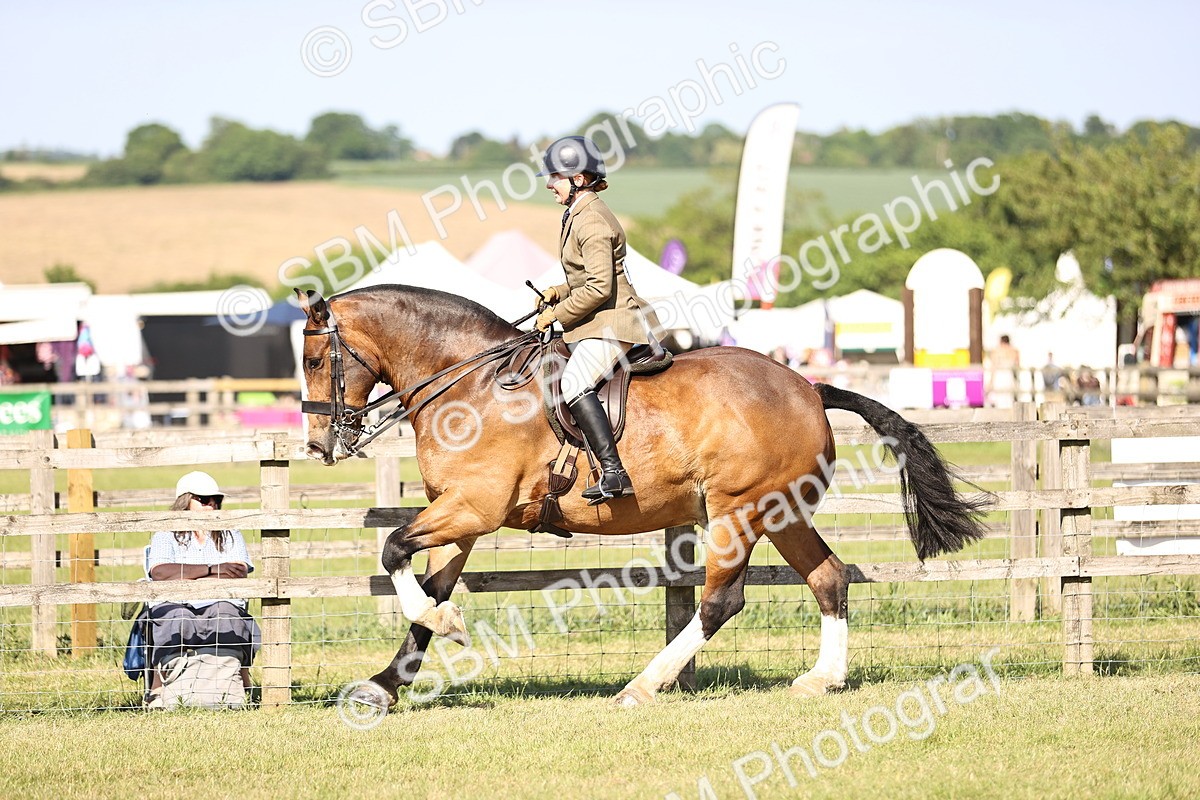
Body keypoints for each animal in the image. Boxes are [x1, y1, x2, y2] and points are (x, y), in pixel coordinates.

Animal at [296, 285, 988, 709]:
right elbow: (427, 588)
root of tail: (810, 388)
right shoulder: (458, 516)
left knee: (721, 601)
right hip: (781, 511)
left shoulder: (474, 508)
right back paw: (821, 680)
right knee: (829, 578)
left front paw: (441, 631)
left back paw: (643, 685)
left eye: (312, 359)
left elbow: (394, 552)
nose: (317, 445)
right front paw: (384, 686)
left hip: (737, 511)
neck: (472, 384)